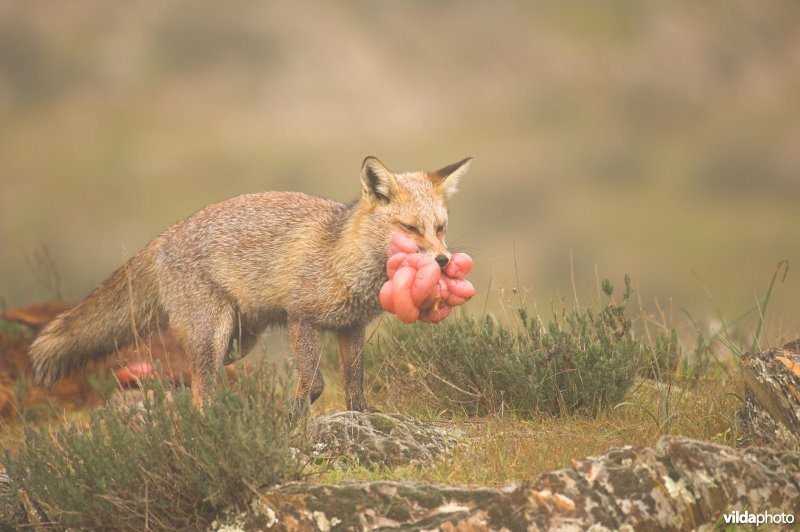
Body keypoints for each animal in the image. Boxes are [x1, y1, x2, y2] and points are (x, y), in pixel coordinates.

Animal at [29, 156, 468, 414]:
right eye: (410, 229)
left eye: (440, 228)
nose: (443, 261)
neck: (344, 259)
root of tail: (164, 237)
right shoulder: (299, 318)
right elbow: (314, 382)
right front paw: (293, 417)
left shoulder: (350, 326)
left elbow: (354, 382)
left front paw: (362, 418)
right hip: (214, 333)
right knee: (198, 388)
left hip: (237, 342)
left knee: (183, 375)